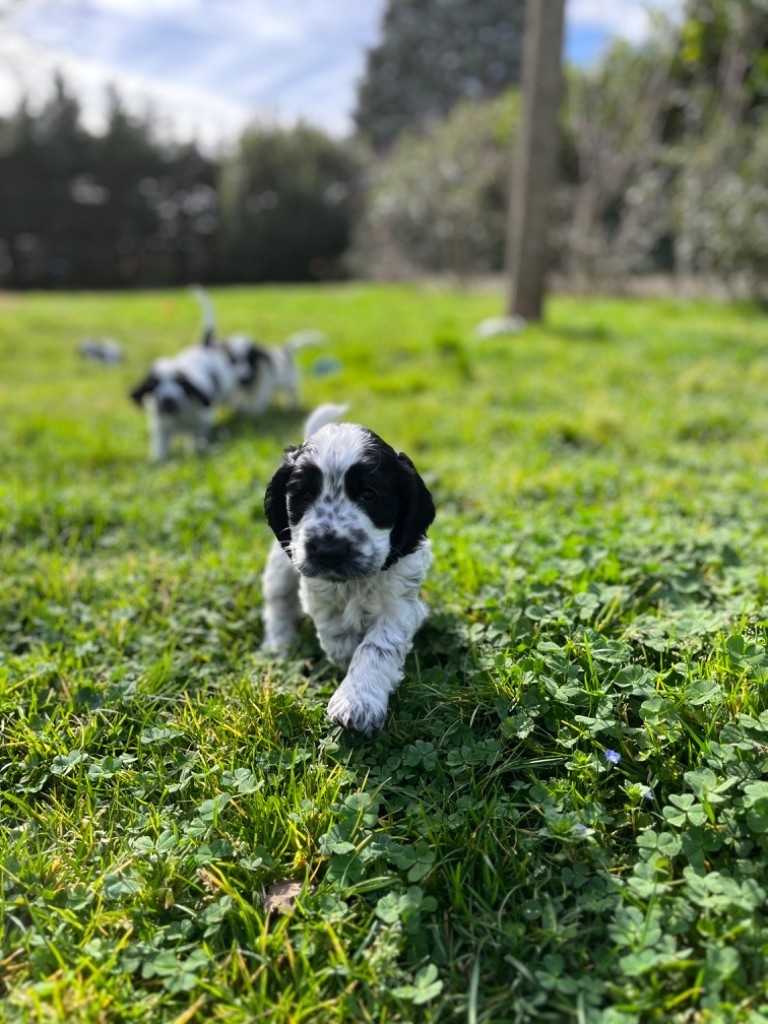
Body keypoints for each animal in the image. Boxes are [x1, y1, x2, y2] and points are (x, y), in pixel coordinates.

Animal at [264, 403, 434, 733]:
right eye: (304, 494)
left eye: (369, 494)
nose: (329, 551)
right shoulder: (314, 584)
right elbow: (333, 626)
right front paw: (343, 651)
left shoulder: (400, 605)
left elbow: (376, 647)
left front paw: (357, 702)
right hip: (282, 562)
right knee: (278, 600)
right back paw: (280, 642)